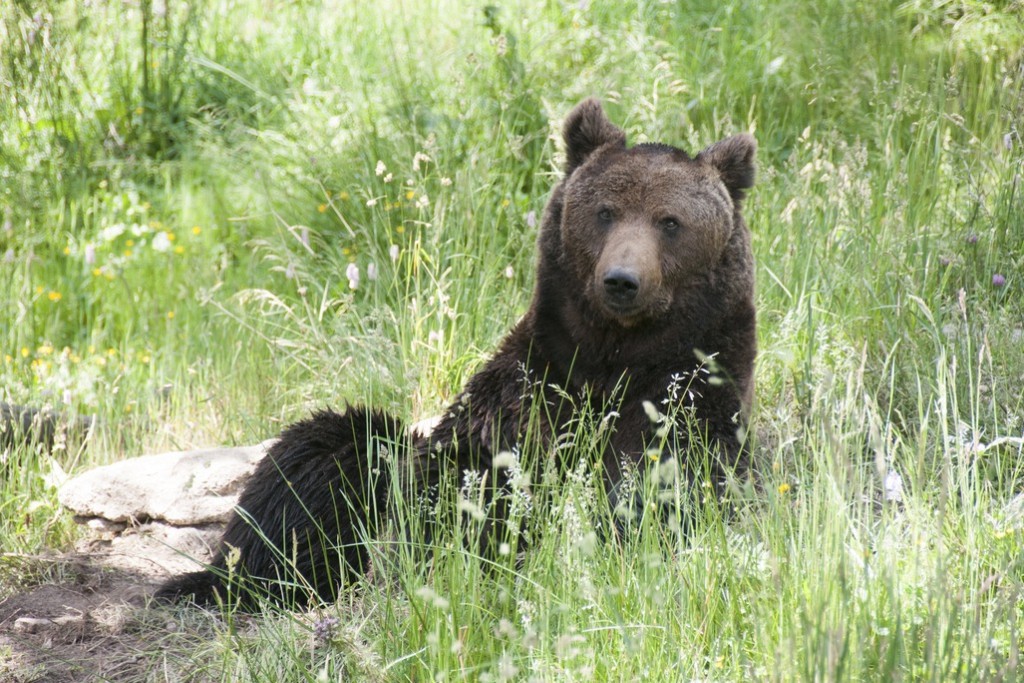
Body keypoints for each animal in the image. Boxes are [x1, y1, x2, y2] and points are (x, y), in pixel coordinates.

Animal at [157, 98, 753, 606]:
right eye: (606, 212)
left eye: (670, 222)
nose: (622, 280)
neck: (614, 356)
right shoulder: (531, 384)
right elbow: (467, 477)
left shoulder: (690, 396)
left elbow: (668, 484)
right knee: (328, 451)